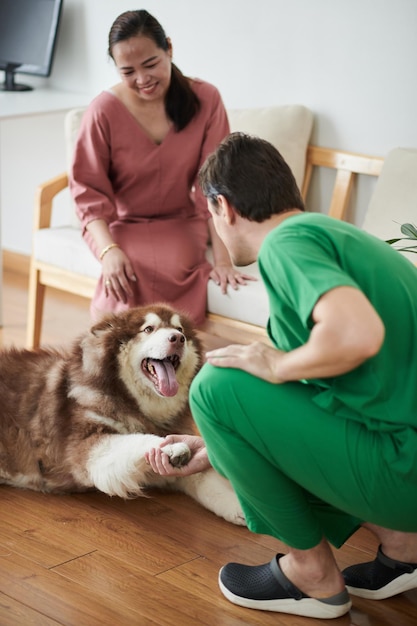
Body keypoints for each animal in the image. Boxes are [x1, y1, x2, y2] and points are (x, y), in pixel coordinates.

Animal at [0, 302, 244, 520]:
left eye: (180, 329)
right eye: (148, 329)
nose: (177, 338)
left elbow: (204, 479)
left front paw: (240, 508)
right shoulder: (87, 448)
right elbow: (135, 439)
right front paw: (170, 447)